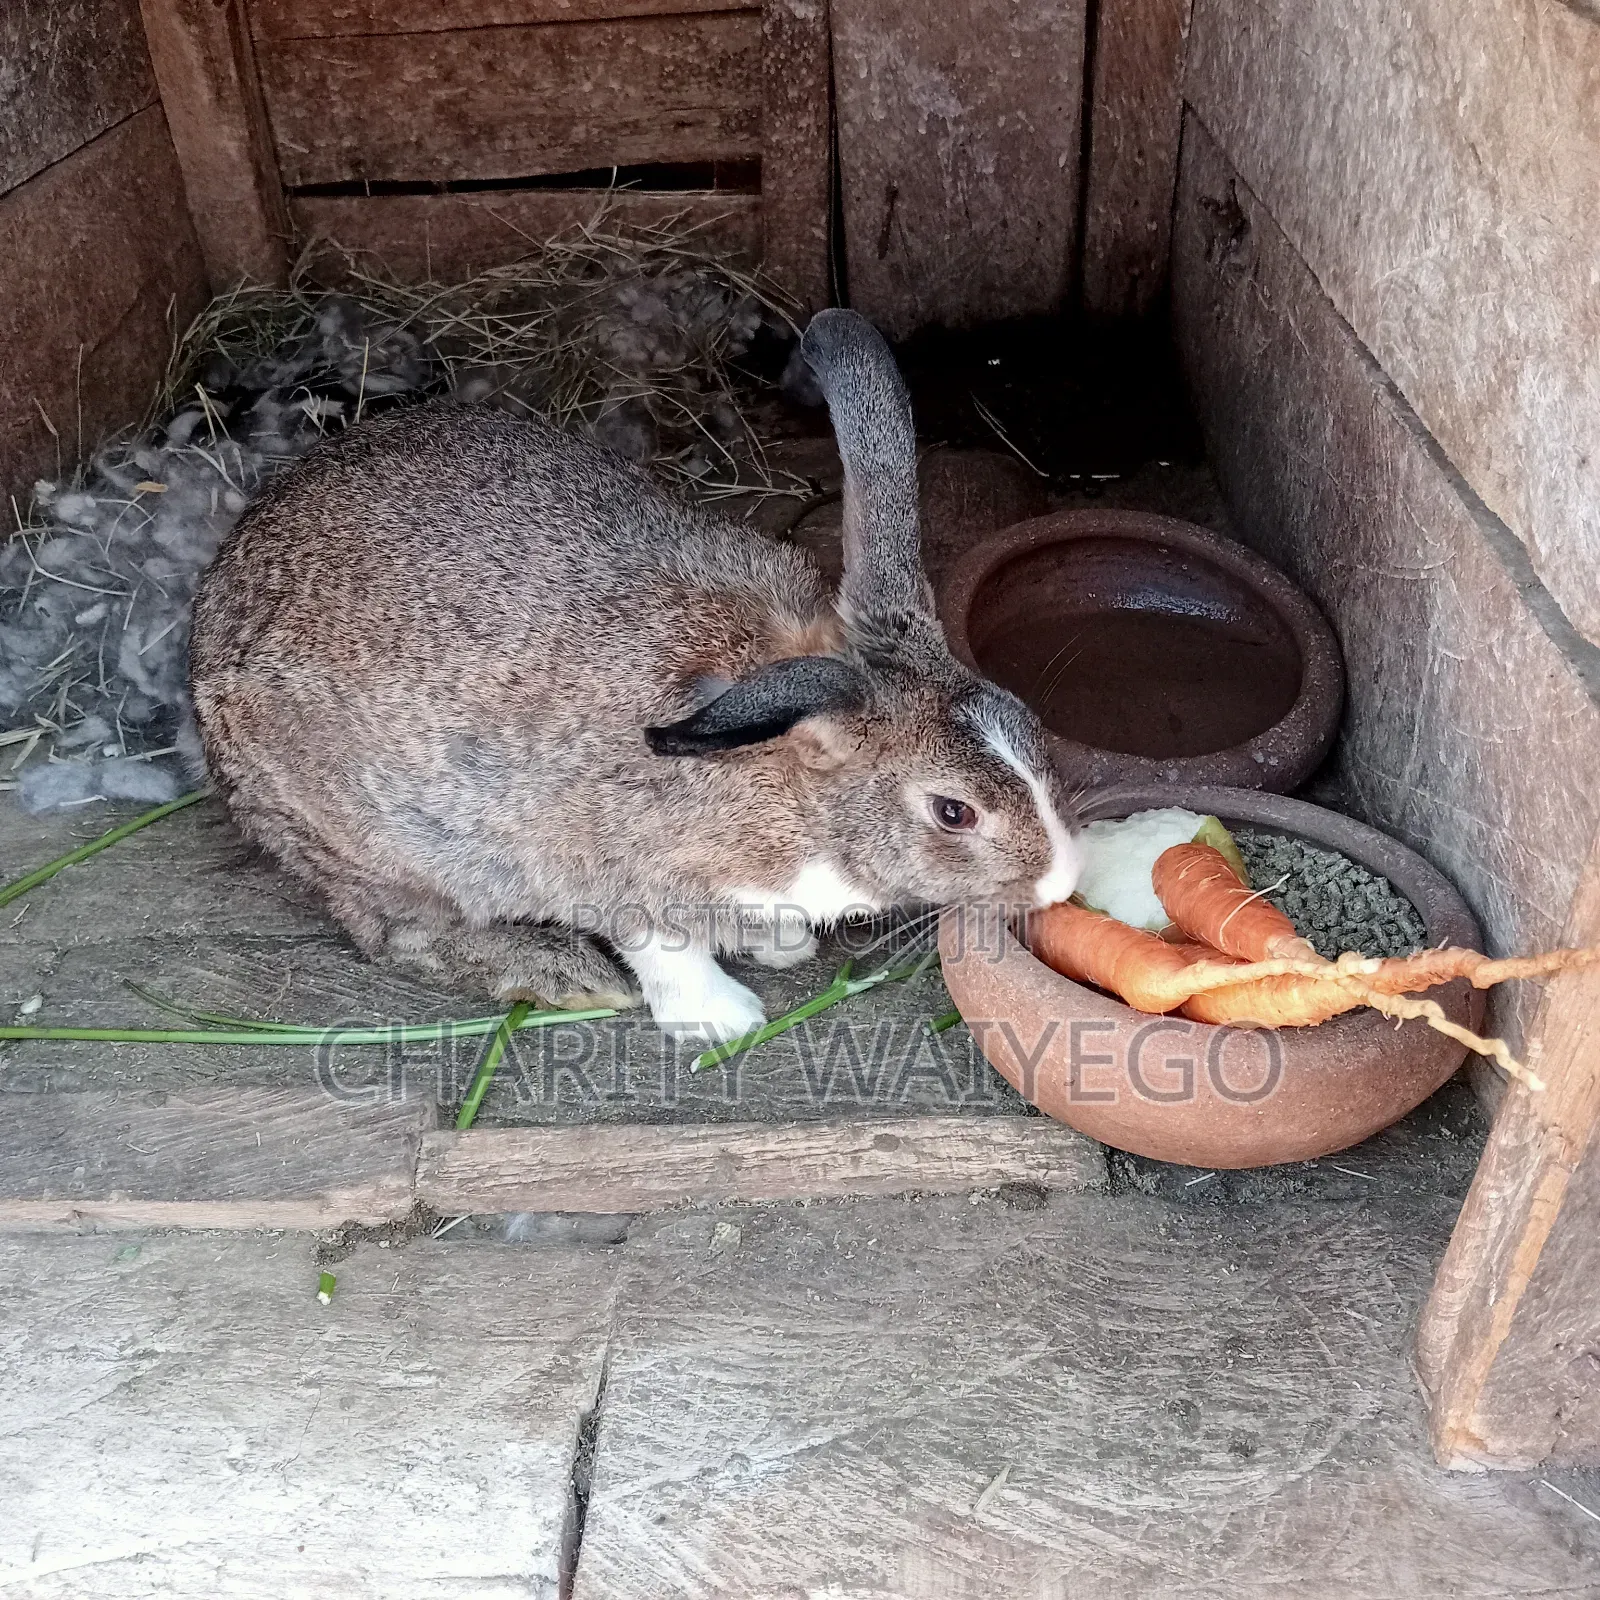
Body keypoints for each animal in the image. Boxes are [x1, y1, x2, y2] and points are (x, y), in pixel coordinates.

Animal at [188, 309, 1083, 1042]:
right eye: (953, 811)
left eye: (1031, 727)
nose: (1062, 879)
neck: (785, 779)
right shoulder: (611, 865)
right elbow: (662, 945)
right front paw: (721, 1017)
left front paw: (779, 943)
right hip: (377, 848)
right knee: (396, 932)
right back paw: (562, 974)